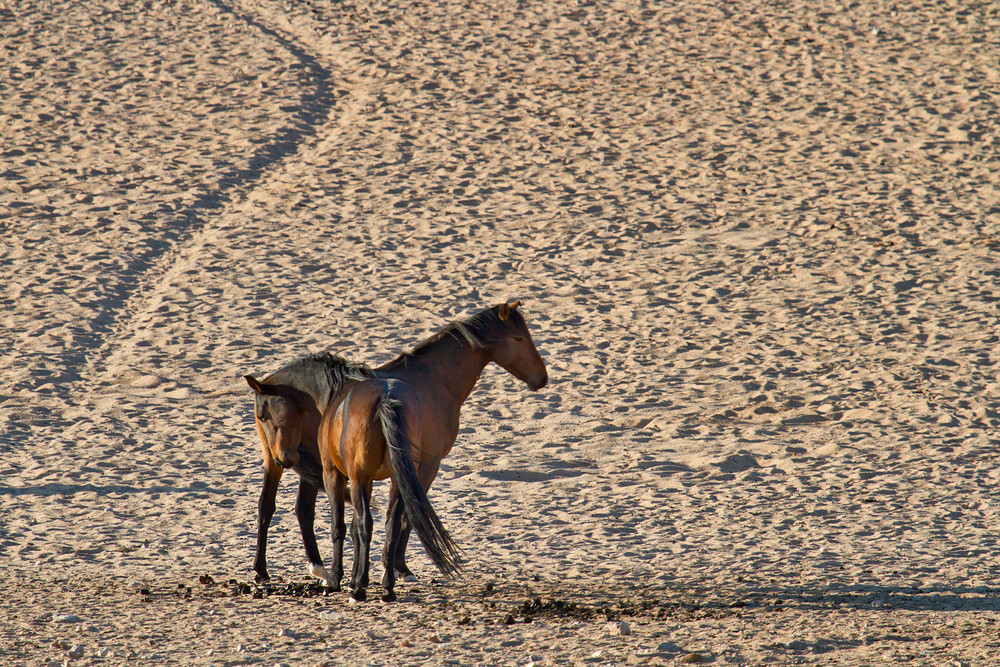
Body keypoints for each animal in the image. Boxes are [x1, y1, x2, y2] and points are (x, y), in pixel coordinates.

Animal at [247, 302, 552, 588]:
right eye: (518, 338)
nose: (542, 378)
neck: (434, 379)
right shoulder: (426, 465)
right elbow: (408, 513)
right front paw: (397, 568)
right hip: (296, 463)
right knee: (282, 506)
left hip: (297, 464)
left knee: (281, 507)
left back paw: (284, 569)